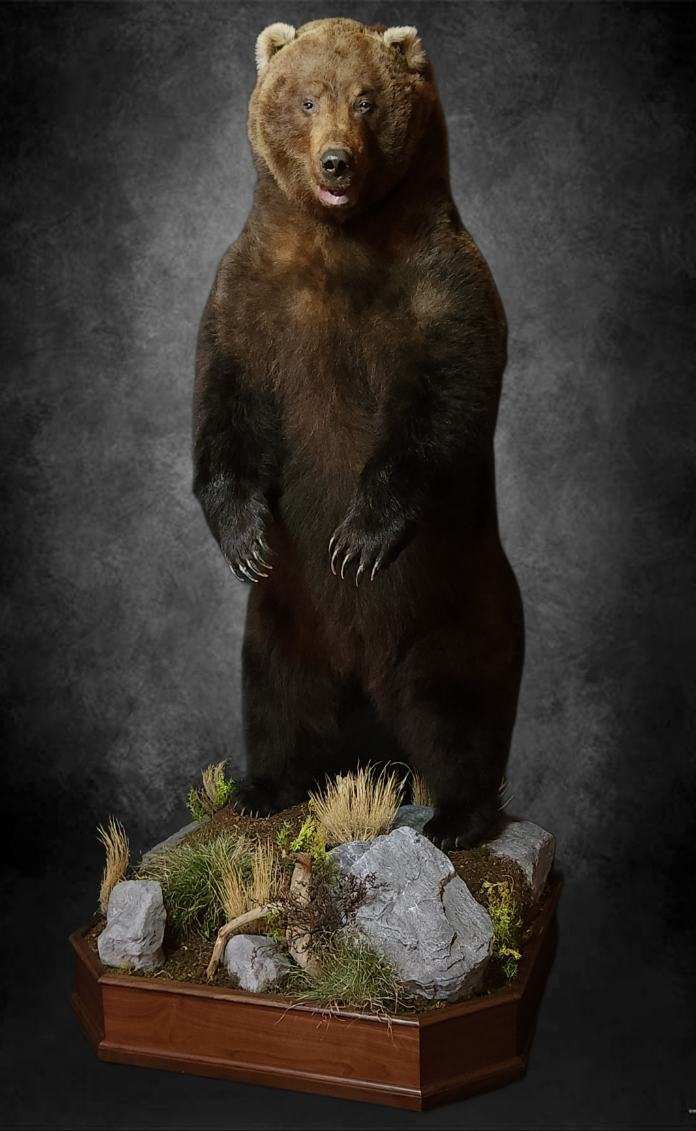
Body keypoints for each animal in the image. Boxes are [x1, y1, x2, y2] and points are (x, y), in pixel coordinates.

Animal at [192, 17, 524, 849]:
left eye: (368, 99)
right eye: (308, 96)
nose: (335, 159)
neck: (338, 239)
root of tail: (362, 671)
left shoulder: (441, 285)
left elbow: (441, 402)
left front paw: (360, 539)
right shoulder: (248, 293)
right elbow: (224, 402)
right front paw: (244, 535)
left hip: (455, 606)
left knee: (458, 711)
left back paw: (459, 817)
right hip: (282, 619)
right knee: (277, 701)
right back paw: (264, 786)